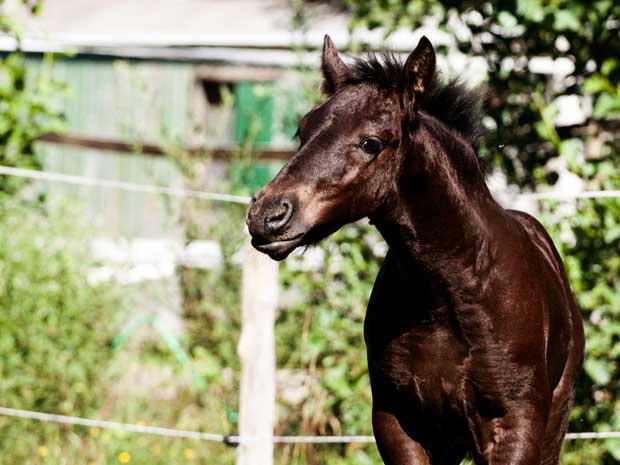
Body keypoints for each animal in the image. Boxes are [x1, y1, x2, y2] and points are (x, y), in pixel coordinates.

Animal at [245, 34, 584, 462]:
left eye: (371, 142)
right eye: (303, 130)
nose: (267, 214)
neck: (446, 296)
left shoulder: (515, 423)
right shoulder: (399, 421)